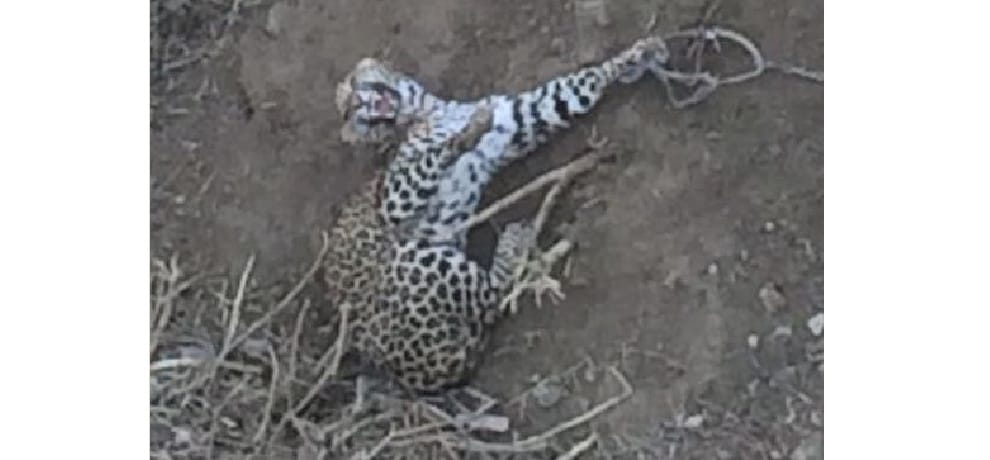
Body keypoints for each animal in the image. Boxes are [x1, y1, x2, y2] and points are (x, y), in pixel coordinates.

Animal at [325, 35, 675, 393]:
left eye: (354, 86)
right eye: (348, 111)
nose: (360, 103)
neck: (426, 109)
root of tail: (415, 377)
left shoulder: (516, 121)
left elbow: (575, 88)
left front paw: (637, 54)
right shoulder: (394, 199)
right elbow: (437, 153)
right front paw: (465, 133)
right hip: (415, 260)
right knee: (494, 297)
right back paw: (515, 239)